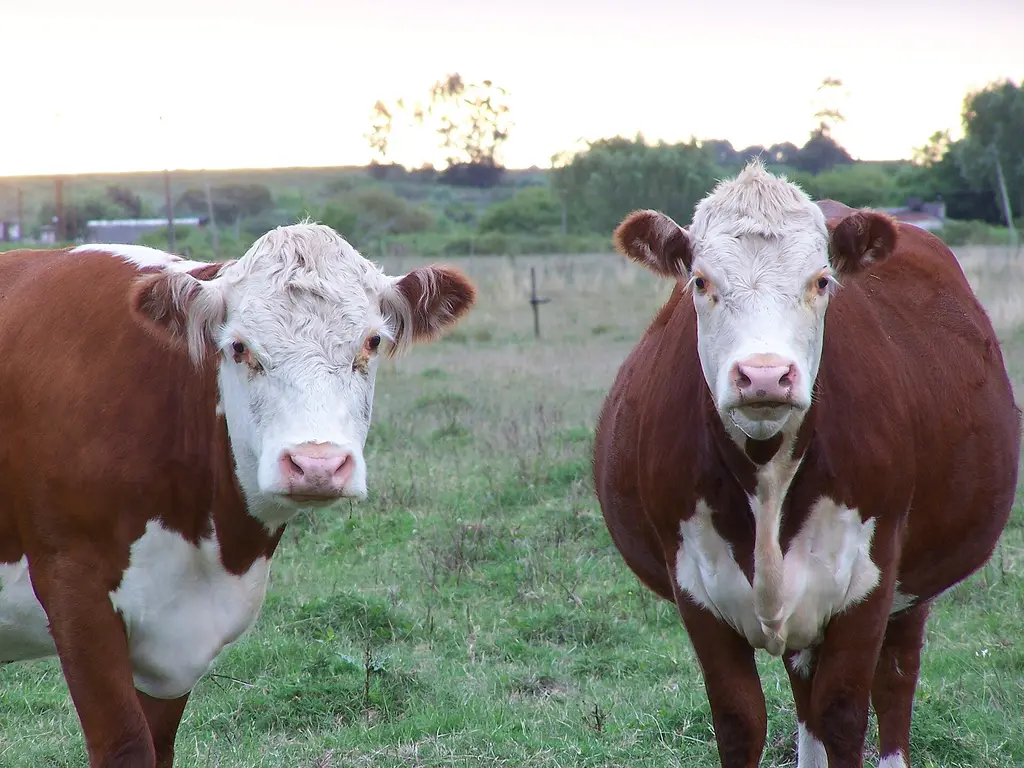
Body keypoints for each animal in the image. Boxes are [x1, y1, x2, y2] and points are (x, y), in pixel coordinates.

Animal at [0, 223, 476, 767]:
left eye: (372, 341)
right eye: (240, 347)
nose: (316, 465)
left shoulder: (175, 643)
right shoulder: (74, 587)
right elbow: (125, 744)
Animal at [593, 161, 1020, 768]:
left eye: (821, 281)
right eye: (700, 282)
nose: (764, 375)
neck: (767, 474)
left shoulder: (870, 581)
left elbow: (844, 714)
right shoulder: (694, 588)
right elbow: (740, 720)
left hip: (914, 581)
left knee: (895, 681)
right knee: (804, 686)